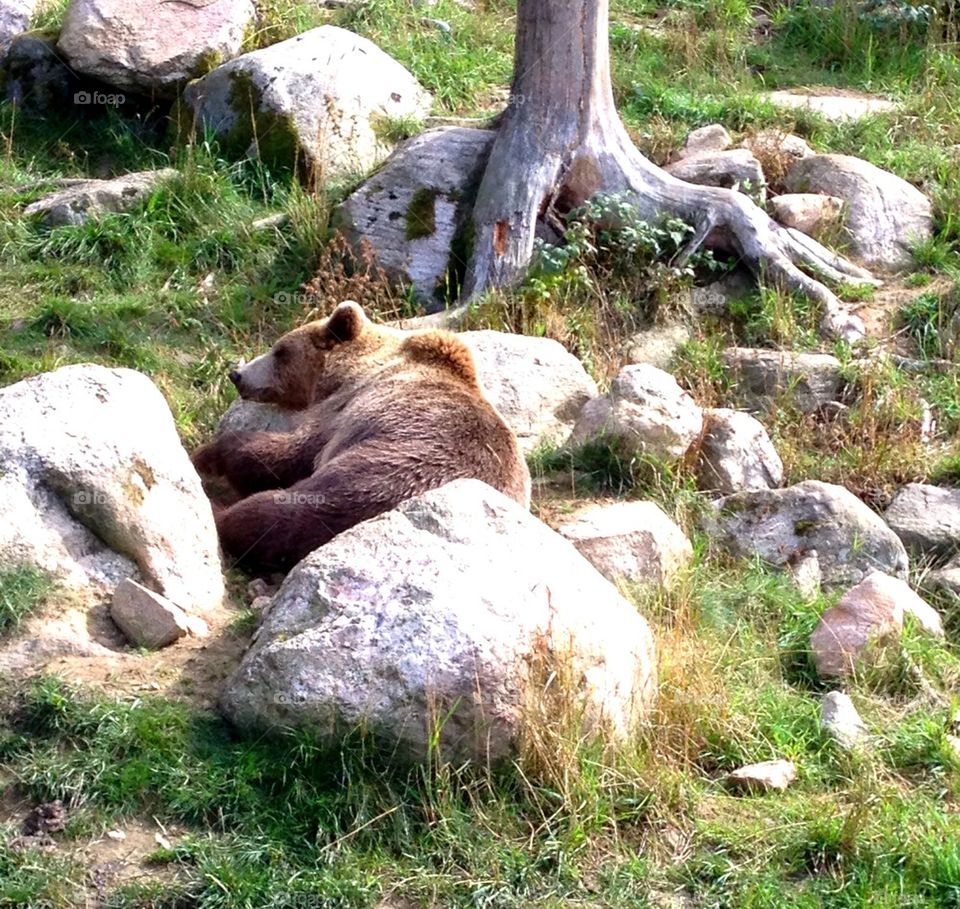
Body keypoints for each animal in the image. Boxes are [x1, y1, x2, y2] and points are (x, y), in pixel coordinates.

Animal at [192, 300, 531, 573]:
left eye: (280, 350)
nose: (237, 374)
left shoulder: (343, 412)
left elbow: (288, 452)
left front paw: (206, 455)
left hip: (376, 475)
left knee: (283, 511)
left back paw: (217, 512)